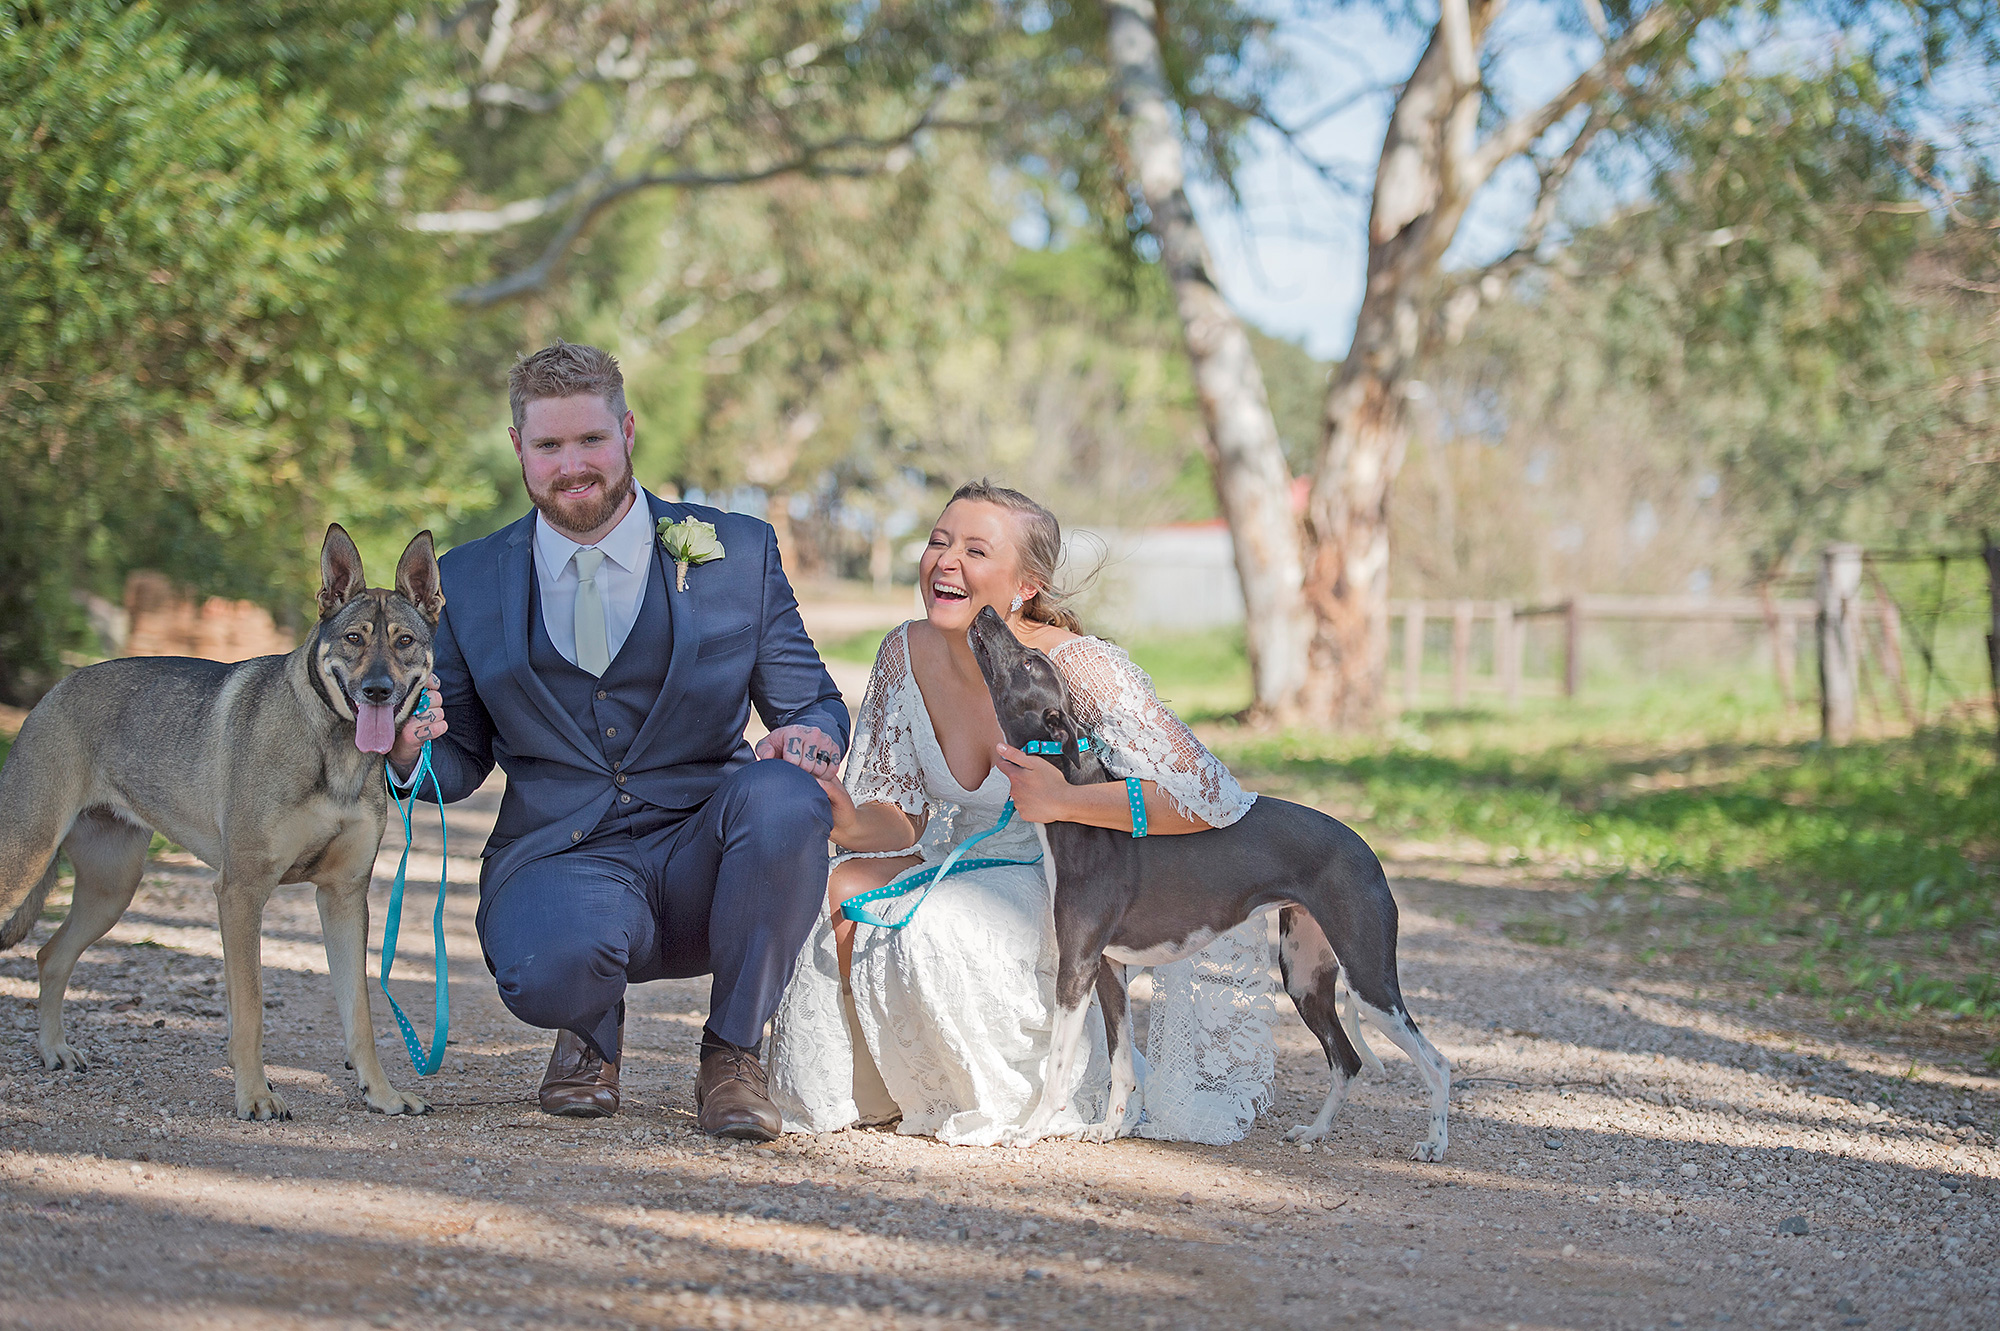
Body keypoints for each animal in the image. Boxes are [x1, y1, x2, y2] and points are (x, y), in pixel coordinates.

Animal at [0, 523, 442, 1111]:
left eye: (403, 641)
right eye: (354, 638)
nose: (377, 690)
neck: (334, 751)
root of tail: (51, 692)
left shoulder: (344, 898)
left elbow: (361, 1017)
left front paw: (383, 1093)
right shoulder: (240, 893)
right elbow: (250, 1012)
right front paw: (255, 1097)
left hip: (110, 890)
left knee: (50, 956)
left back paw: (54, 1051)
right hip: (25, 860)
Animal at [960, 603, 1448, 1151]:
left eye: (1028, 662)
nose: (986, 611)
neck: (1077, 816)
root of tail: (1366, 850)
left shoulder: (1077, 965)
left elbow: (1059, 1065)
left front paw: (1032, 1130)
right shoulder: (1108, 967)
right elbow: (1122, 1064)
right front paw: (1110, 1127)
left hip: (1368, 979)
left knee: (1436, 1062)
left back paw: (1434, 1143)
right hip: (1305, 976)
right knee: (1347, 1059)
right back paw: (1316, 1131)